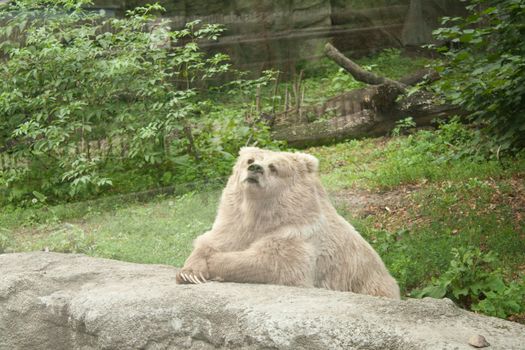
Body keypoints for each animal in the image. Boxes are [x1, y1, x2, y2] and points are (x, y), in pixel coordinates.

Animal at [174, 147, 400, 298]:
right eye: (250, 160)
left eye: (274, 167)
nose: (255, 168)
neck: (262, 214)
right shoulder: (234, 223)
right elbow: (212, 240)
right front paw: (189, 273)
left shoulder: (299, 233)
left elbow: (274, 262)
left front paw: (214, 263)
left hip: (369, 283)